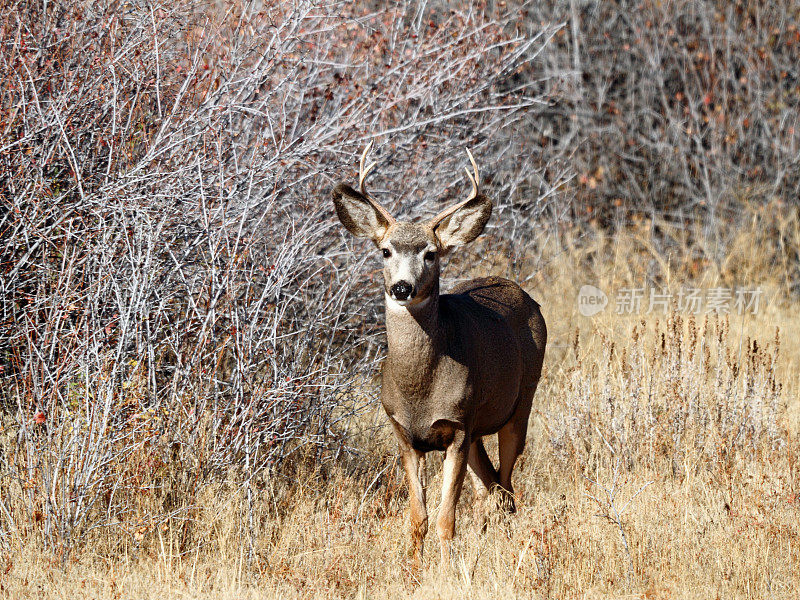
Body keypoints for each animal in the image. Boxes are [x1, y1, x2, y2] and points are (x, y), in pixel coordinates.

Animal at [330, 144, 544, 568]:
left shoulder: (457, 427)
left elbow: (446, 519)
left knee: (507, 487)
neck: (420, 390)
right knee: (489, 486)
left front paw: (445, 569)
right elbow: (418, 518)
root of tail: (522, 292)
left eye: (431, 254)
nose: (401, 286)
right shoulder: (405, 434)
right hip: (477, 428)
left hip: (519, 404)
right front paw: (413, 568)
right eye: (385, 250)